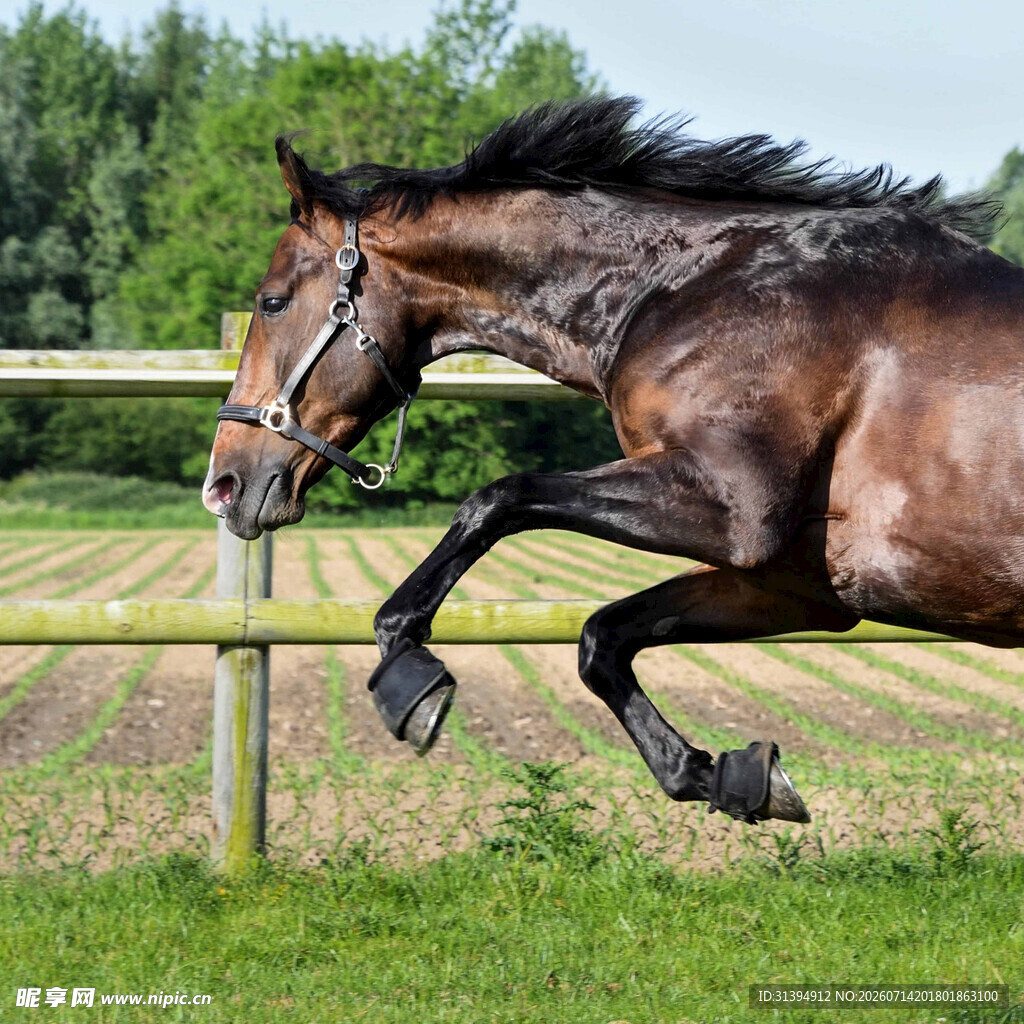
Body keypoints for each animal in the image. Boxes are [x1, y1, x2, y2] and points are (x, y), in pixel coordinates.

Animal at [203, 96, 1020, 825]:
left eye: (272, 301)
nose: (224, 486)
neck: (692, 289)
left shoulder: (733, 512)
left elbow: (498, 499)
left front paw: (411, 685)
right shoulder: (796, 587)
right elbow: (603, 637)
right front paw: (735, 778)